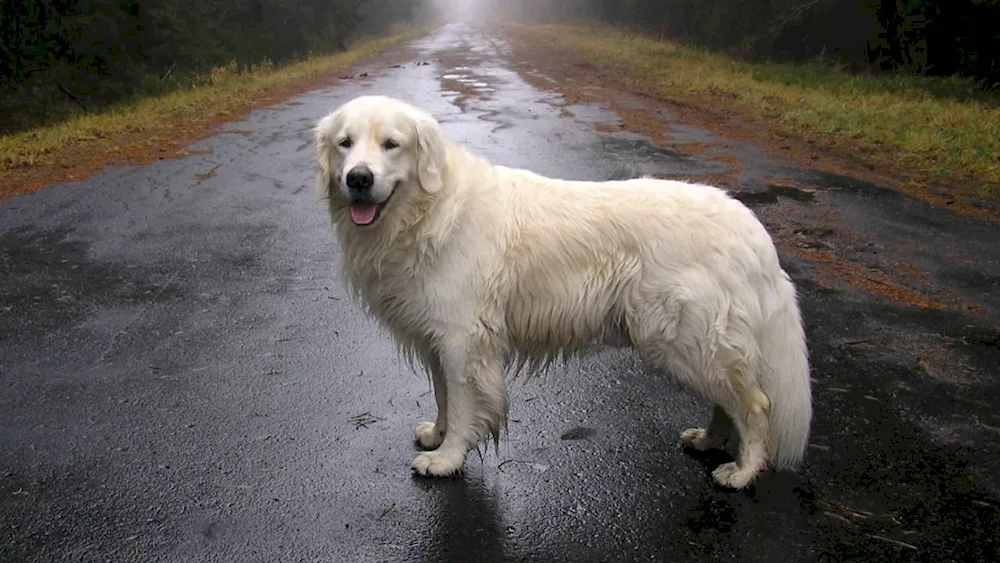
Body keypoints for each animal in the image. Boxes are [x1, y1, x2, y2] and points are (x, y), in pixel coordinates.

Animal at [312, 93, 812, 490]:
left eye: (391, 144)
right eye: (345, 144)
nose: (358, 178)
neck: (427, 213)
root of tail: (750, 227)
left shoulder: (462, 341)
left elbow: (465, 406)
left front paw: (446, 459)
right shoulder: (438, 338)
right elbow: (444, 398)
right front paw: (437, 434)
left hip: (686, 339)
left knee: (755, 404)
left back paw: (742, 471)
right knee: (729, 401)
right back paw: (709, 440)